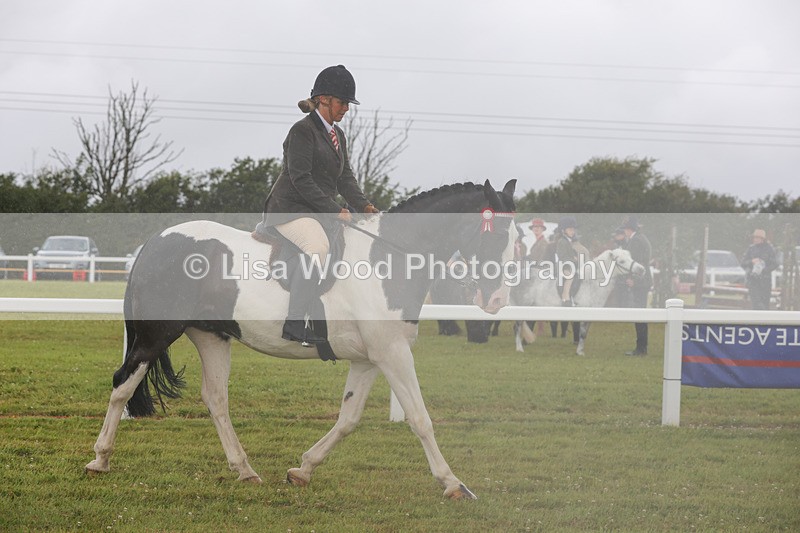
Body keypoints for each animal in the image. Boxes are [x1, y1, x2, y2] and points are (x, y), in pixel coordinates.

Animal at [85, 180, 519, 500]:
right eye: (496, 236)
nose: (497, 301)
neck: (387, 258)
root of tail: (156, 242)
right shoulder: (392, 353)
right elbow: (420, 418)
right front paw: (453, 483)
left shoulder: (369, 359)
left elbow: (348, 418)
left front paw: (303, 469)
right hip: (157, 334)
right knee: (122, 384)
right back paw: (100, 460)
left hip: (211, 336)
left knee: (215, 398)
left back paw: (245, 470)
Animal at [511, 248, 646, 355]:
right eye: (622, 261)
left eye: (630, 257)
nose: (642, 270)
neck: (591, 283)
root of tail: (517, 275)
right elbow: (582, 333)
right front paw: (579, 352)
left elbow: (584, 334)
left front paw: (580, 351)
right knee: (517, 327)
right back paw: (519, 348)